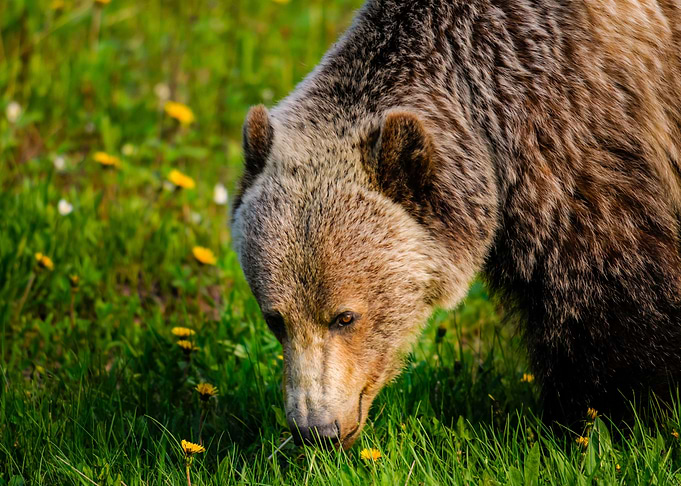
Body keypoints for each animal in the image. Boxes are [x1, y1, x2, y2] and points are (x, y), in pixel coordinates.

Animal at [231, 0, 681, 449]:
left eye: (345, 317)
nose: (316, 430)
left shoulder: (583, 139)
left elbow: (608, 304)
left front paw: (614, 416)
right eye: (275, 319)